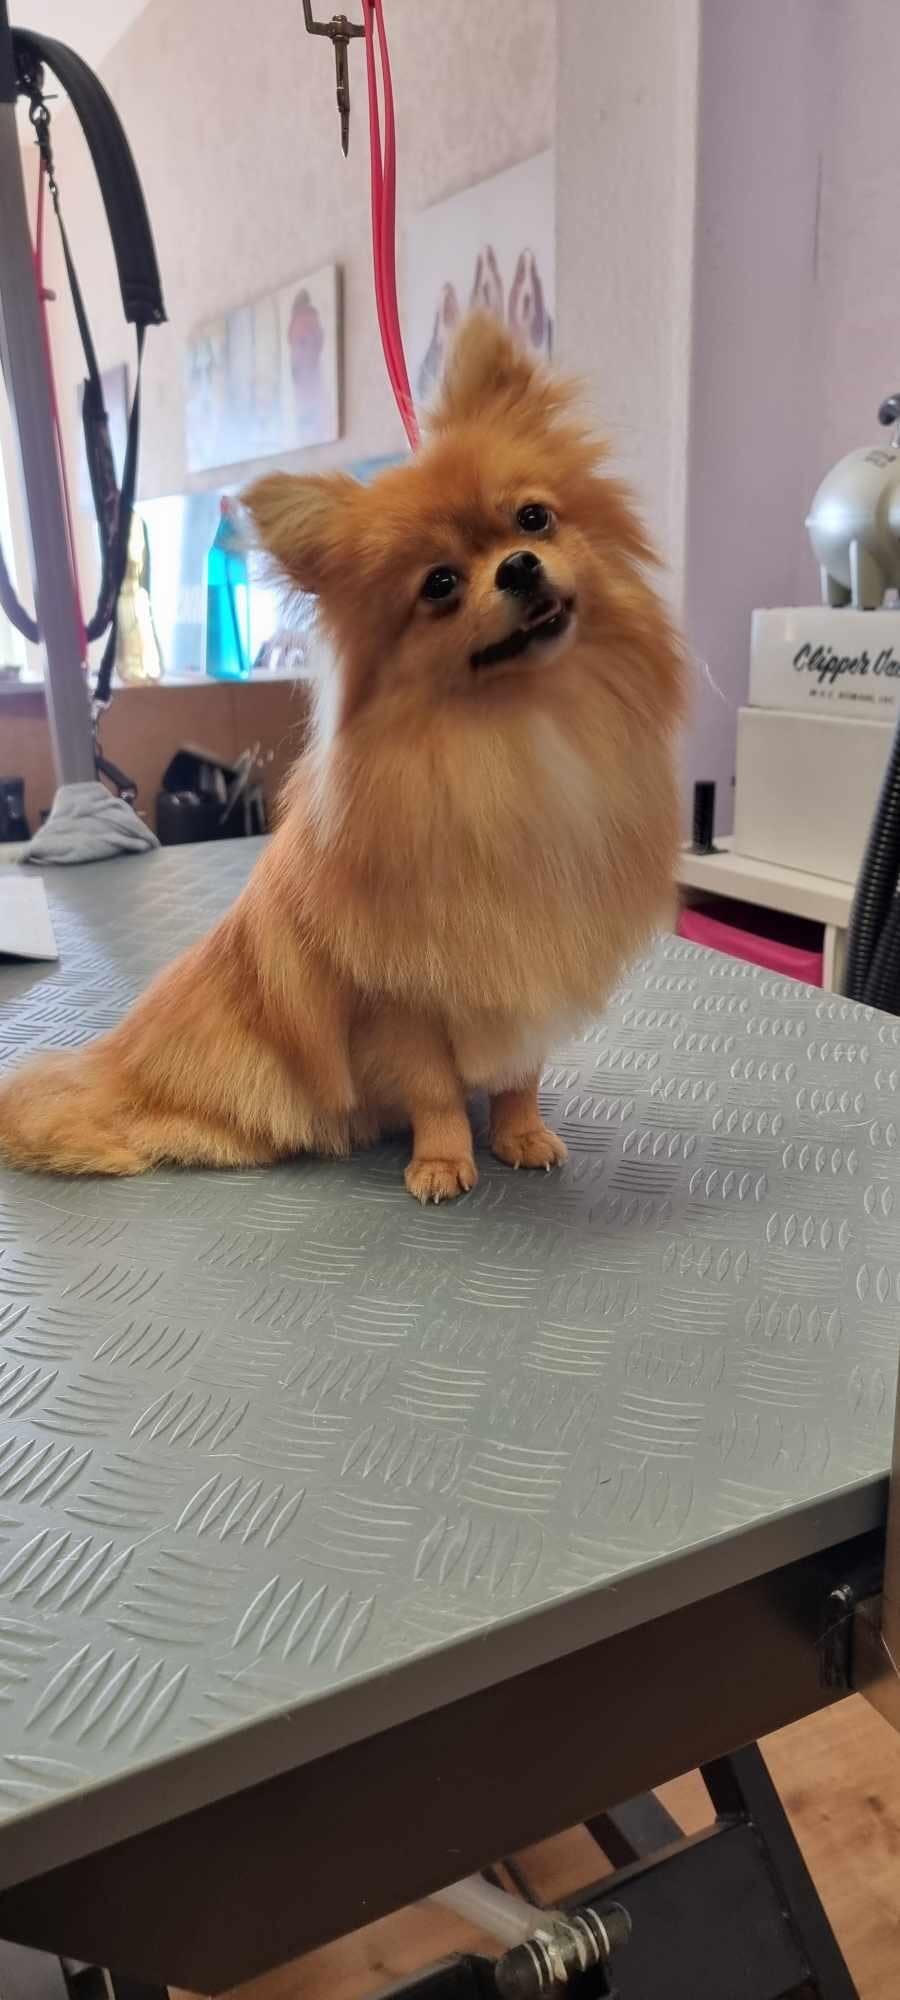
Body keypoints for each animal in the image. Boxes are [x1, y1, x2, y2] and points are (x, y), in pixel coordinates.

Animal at [0, 317, 685, 1202]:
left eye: (534, 519)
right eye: (439, 585)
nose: (518, 566)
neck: (518, 734)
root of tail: (121, 1064)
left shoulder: (529, 971)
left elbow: (516, 1076)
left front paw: (521, 1136)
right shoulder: (403, 995)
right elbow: (434, 1089)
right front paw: (443, 1161)